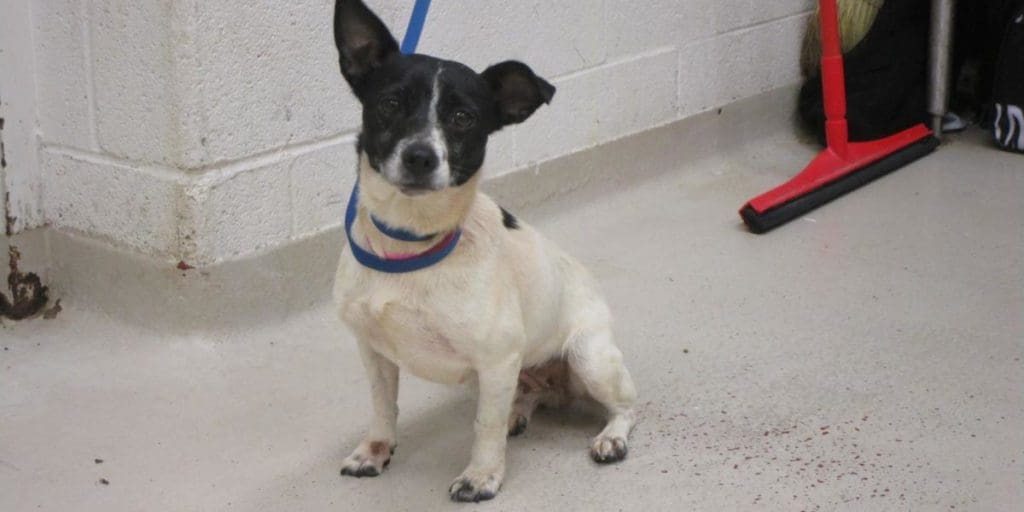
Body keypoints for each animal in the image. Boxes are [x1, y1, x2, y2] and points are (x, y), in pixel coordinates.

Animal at [331, 0, 634, 501]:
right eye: (389, 104)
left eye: (463, 118)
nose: (420, 156)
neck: (411, 245)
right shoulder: (374, 352)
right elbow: (382, 408)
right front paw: (375, 450)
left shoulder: (496, 359)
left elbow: (483, 427)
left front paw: (481, 476)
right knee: (527, 394)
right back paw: (520, 412)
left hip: (587, 358)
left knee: (627, 404)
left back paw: (611, 436)